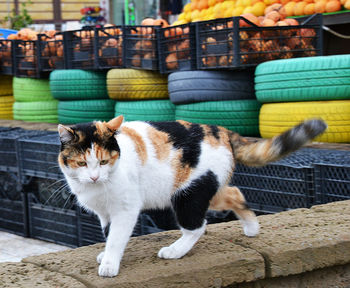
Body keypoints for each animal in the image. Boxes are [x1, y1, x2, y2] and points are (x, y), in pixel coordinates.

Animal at [58, 116, 328, 278]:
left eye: (104, 161)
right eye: (82, 163)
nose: (94, 177)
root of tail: (221, 131)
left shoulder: (126, 208)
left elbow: (116, 237)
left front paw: (109, 264)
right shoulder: (105, 213)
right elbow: (108, 232)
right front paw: (105, 254)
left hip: (188, 193)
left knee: (197, 226)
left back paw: (175, 251)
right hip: (209, 186)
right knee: (234, 192)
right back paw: (251, 228)